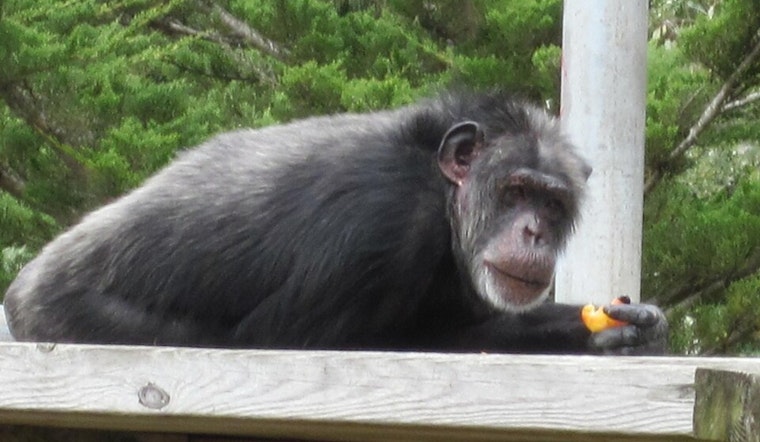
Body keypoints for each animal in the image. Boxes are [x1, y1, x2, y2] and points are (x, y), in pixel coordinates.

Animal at [3, 90, 668, 354]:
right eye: (516, 191)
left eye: (551, 204)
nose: (533, 229)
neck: (440, 195)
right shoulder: (375, 226)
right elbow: (287, 338)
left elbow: (455, 333)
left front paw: (618, 327)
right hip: (67, 314)